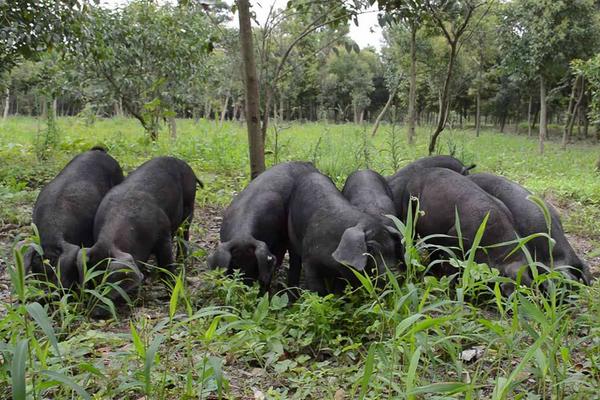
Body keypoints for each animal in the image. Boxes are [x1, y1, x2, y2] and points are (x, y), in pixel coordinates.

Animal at [77, 156, 203, 300]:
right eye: (92, 282)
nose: (97, 310)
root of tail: (184, 163)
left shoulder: (163, 235)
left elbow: (166, 266)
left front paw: (174, 294)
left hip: (189, 203)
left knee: (184, 233)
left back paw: (181, 261)